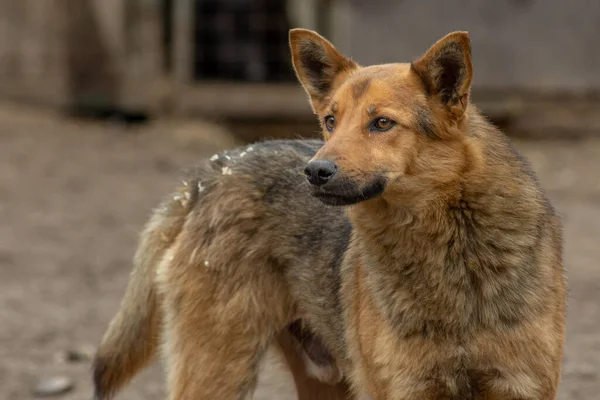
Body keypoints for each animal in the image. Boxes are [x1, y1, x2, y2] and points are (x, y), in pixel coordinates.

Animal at [94, 28, 568, 400]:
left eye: (382, 123)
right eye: (330, 121)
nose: (315, 171)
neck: (449, 256)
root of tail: (212, 169)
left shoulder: (520, 386)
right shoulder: (406, 389)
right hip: (219, 371)